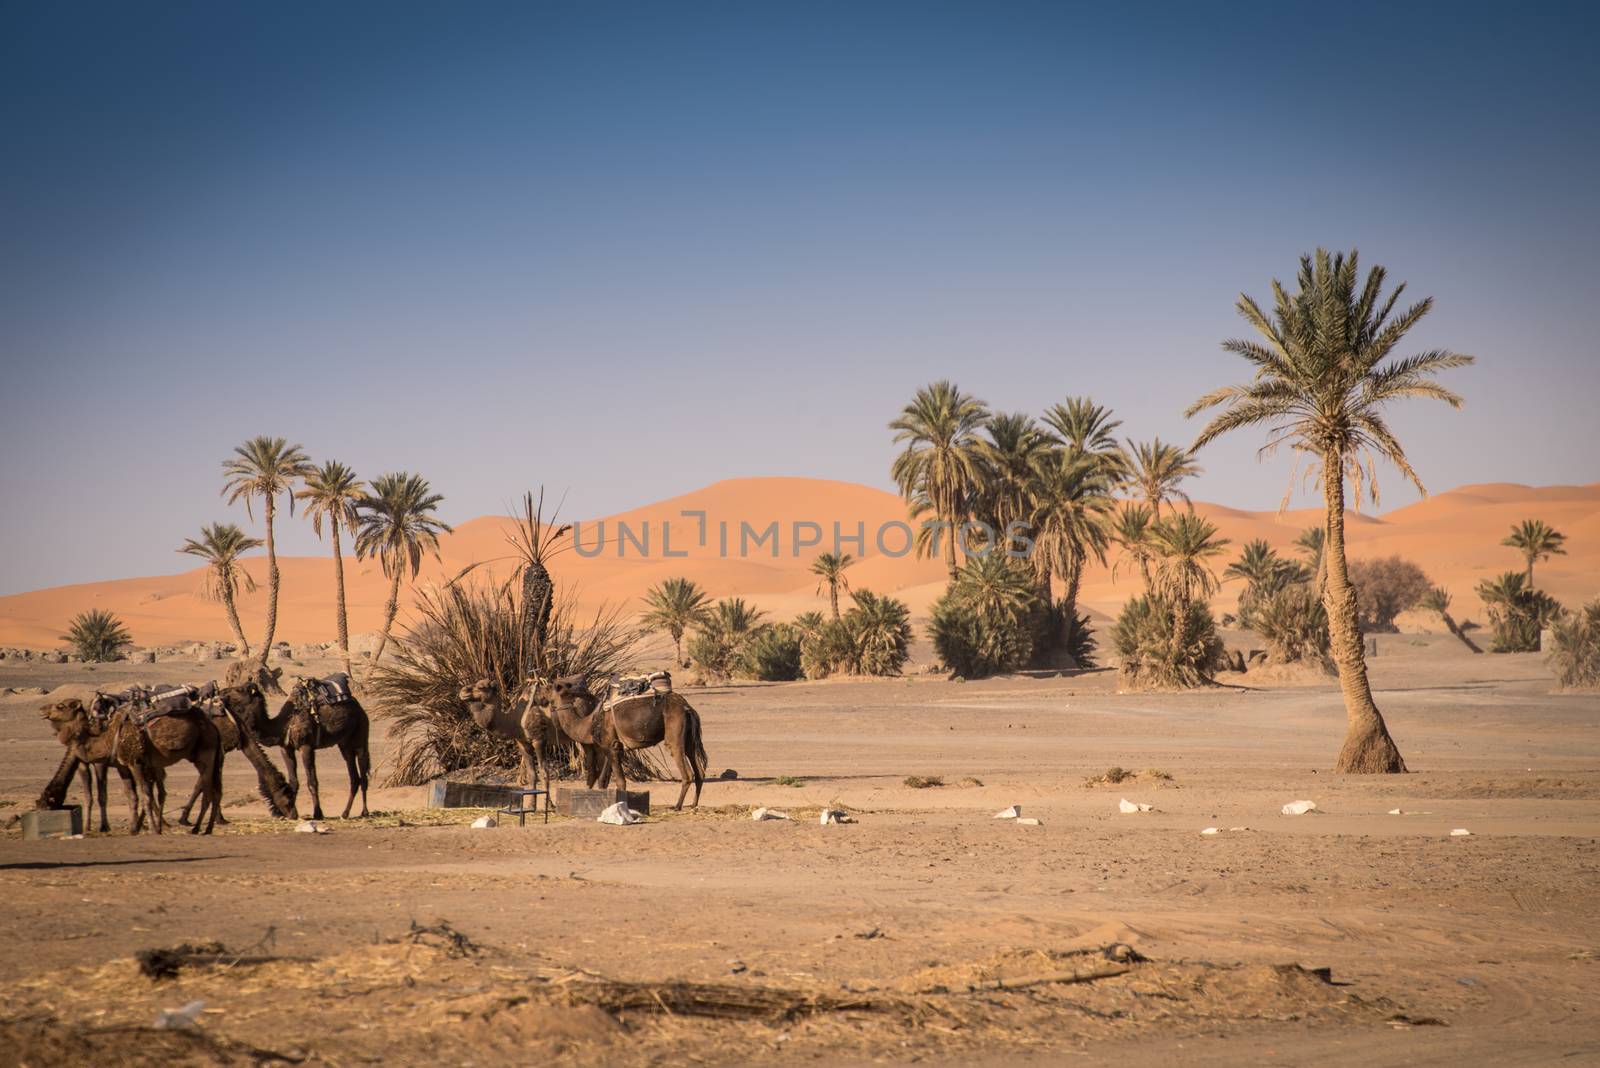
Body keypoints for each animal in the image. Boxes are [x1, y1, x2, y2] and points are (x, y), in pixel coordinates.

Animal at [217, 674, 369, 818]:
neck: (283, 725)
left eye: (240, 689)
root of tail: (359, 707)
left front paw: (318, 813)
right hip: (344, 744)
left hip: (361, 733)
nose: (222, 692)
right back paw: (345, 813)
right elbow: (293, 781)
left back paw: (364, 812)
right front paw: (292, 813)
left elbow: (312, 782)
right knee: (354, 776)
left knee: (363, 771)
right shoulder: (286, 748)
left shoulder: (306, 746)